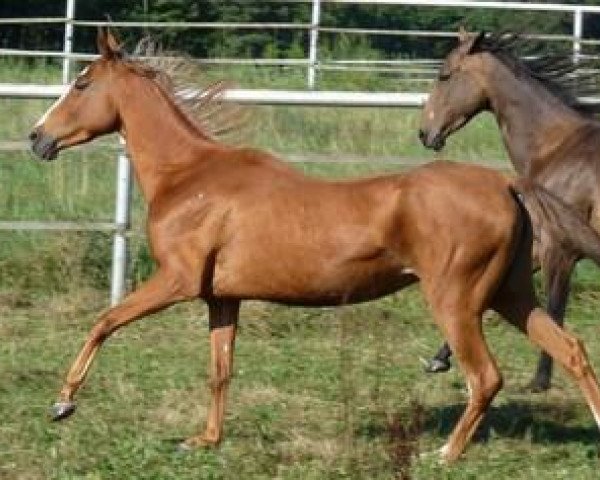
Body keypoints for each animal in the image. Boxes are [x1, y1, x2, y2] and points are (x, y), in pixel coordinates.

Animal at [420, 29, 600, 390]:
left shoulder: (561, 249)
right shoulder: (537, 244)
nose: (424, 133)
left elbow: (555, 309)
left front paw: (540, 381)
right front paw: (439, 359)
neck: (555, 148)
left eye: (444, 75)